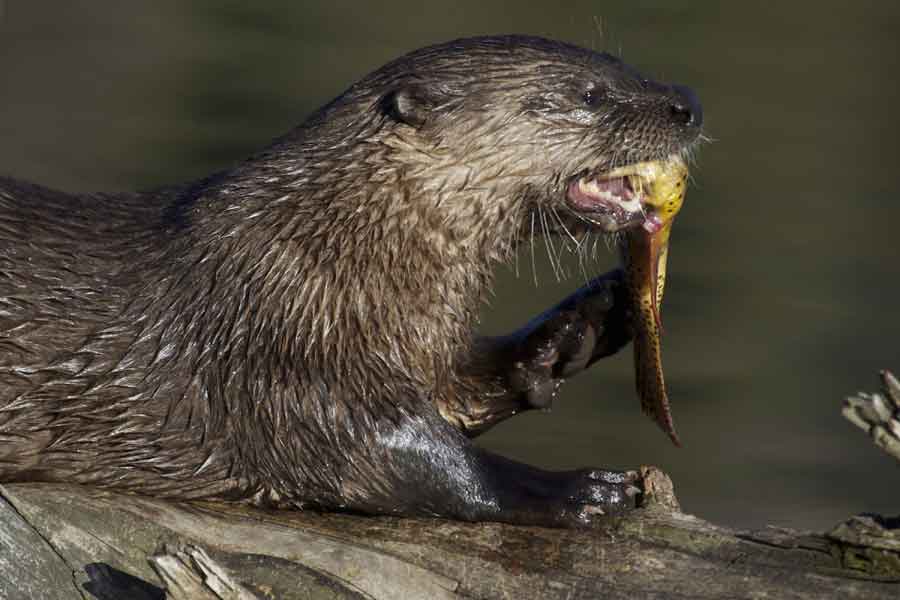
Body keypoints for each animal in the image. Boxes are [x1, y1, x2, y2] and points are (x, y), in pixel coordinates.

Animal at [0, 35, 704, 528]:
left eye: (623, 65)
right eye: (590, 95)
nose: (688, 103)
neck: (340, 245)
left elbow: (459, 389)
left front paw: (582, 324)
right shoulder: (280, 344)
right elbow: (402, 458)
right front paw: (575, 488)